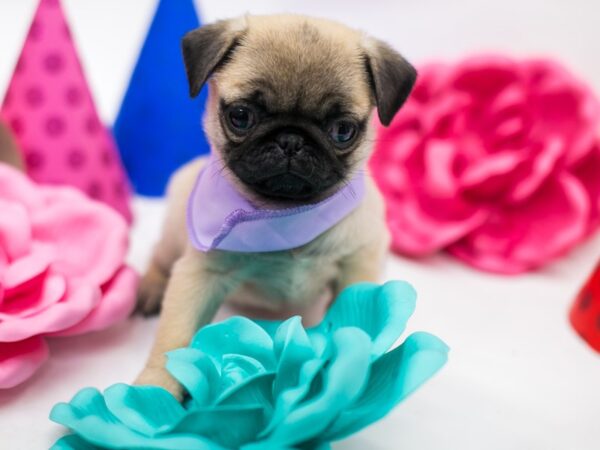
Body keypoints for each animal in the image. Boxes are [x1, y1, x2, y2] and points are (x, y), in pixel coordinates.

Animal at [137, 14, 418, 398]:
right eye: (241, 116)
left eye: (343, 130)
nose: (291, 140)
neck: (283, 212)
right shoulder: (200, 275)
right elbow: (174, 335)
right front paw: (156, 389)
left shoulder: (358, 265)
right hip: (174, 232)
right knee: (159, 256)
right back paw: (149, 289)